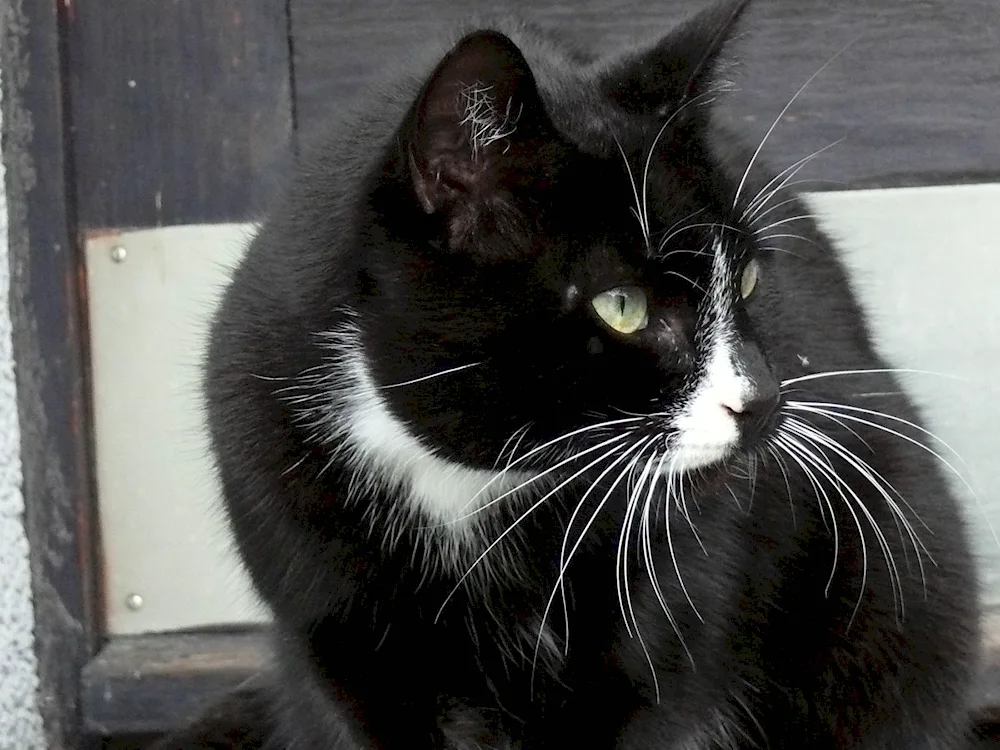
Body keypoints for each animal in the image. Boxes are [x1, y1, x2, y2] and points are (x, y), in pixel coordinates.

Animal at [154, 2, 976, 748]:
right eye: (622, 306)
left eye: (744, 280)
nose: (764, 399)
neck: (468, 494)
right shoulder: (340, 639)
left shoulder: (663, 623)